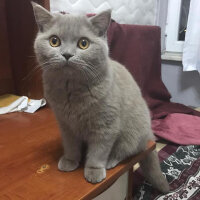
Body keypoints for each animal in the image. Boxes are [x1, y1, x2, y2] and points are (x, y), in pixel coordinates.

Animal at [32, 1, 169, 192]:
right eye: (54, 41)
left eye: (83, 43)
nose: (67, 54)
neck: (72, 91)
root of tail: (150, 134)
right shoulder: (65, 124)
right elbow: (70, 144)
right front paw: (70, 160)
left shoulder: (106, 126)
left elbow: (99, 151)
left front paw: (94, 170)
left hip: (131, 133)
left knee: (126, 151)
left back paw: (110, 161)